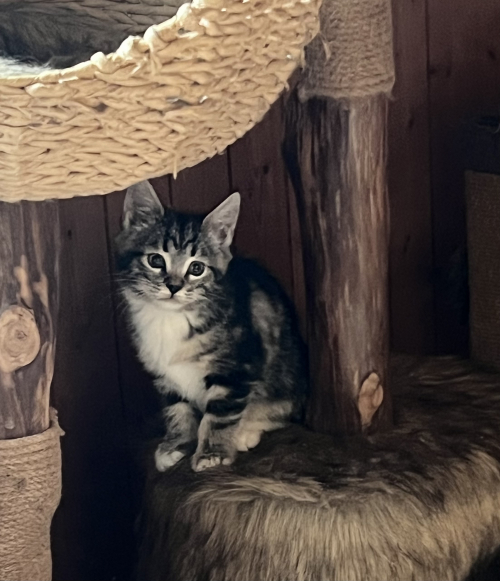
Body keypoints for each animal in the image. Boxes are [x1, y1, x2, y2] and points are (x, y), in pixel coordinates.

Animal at [115, 180, 306, 472]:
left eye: (196, 268)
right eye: (156, 260)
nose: (174, 286)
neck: (170, 318)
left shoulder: (237, 367)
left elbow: (219, 414)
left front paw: (211, 453)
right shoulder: (164, 375)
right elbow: (177, 408)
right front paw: (176, 444)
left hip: (287, 375)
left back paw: (246, 430)